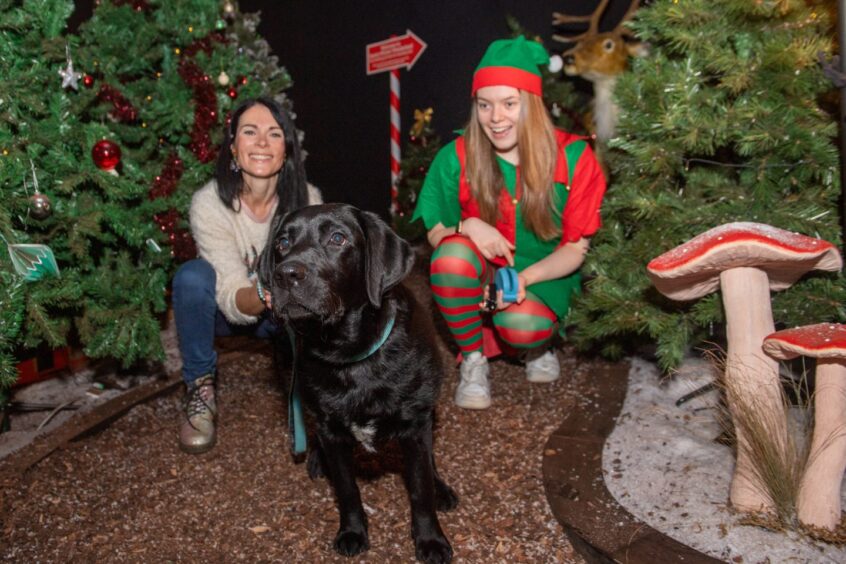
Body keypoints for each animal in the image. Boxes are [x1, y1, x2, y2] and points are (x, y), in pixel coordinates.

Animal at [260, 205, 458, 560]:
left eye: (338, 238)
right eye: (282, 242)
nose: (286, 274)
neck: (349, 356)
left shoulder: (415, 426)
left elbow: (420, 490)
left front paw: (430, 540)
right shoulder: (331, 431)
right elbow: (347, 490)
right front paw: (352, 531)